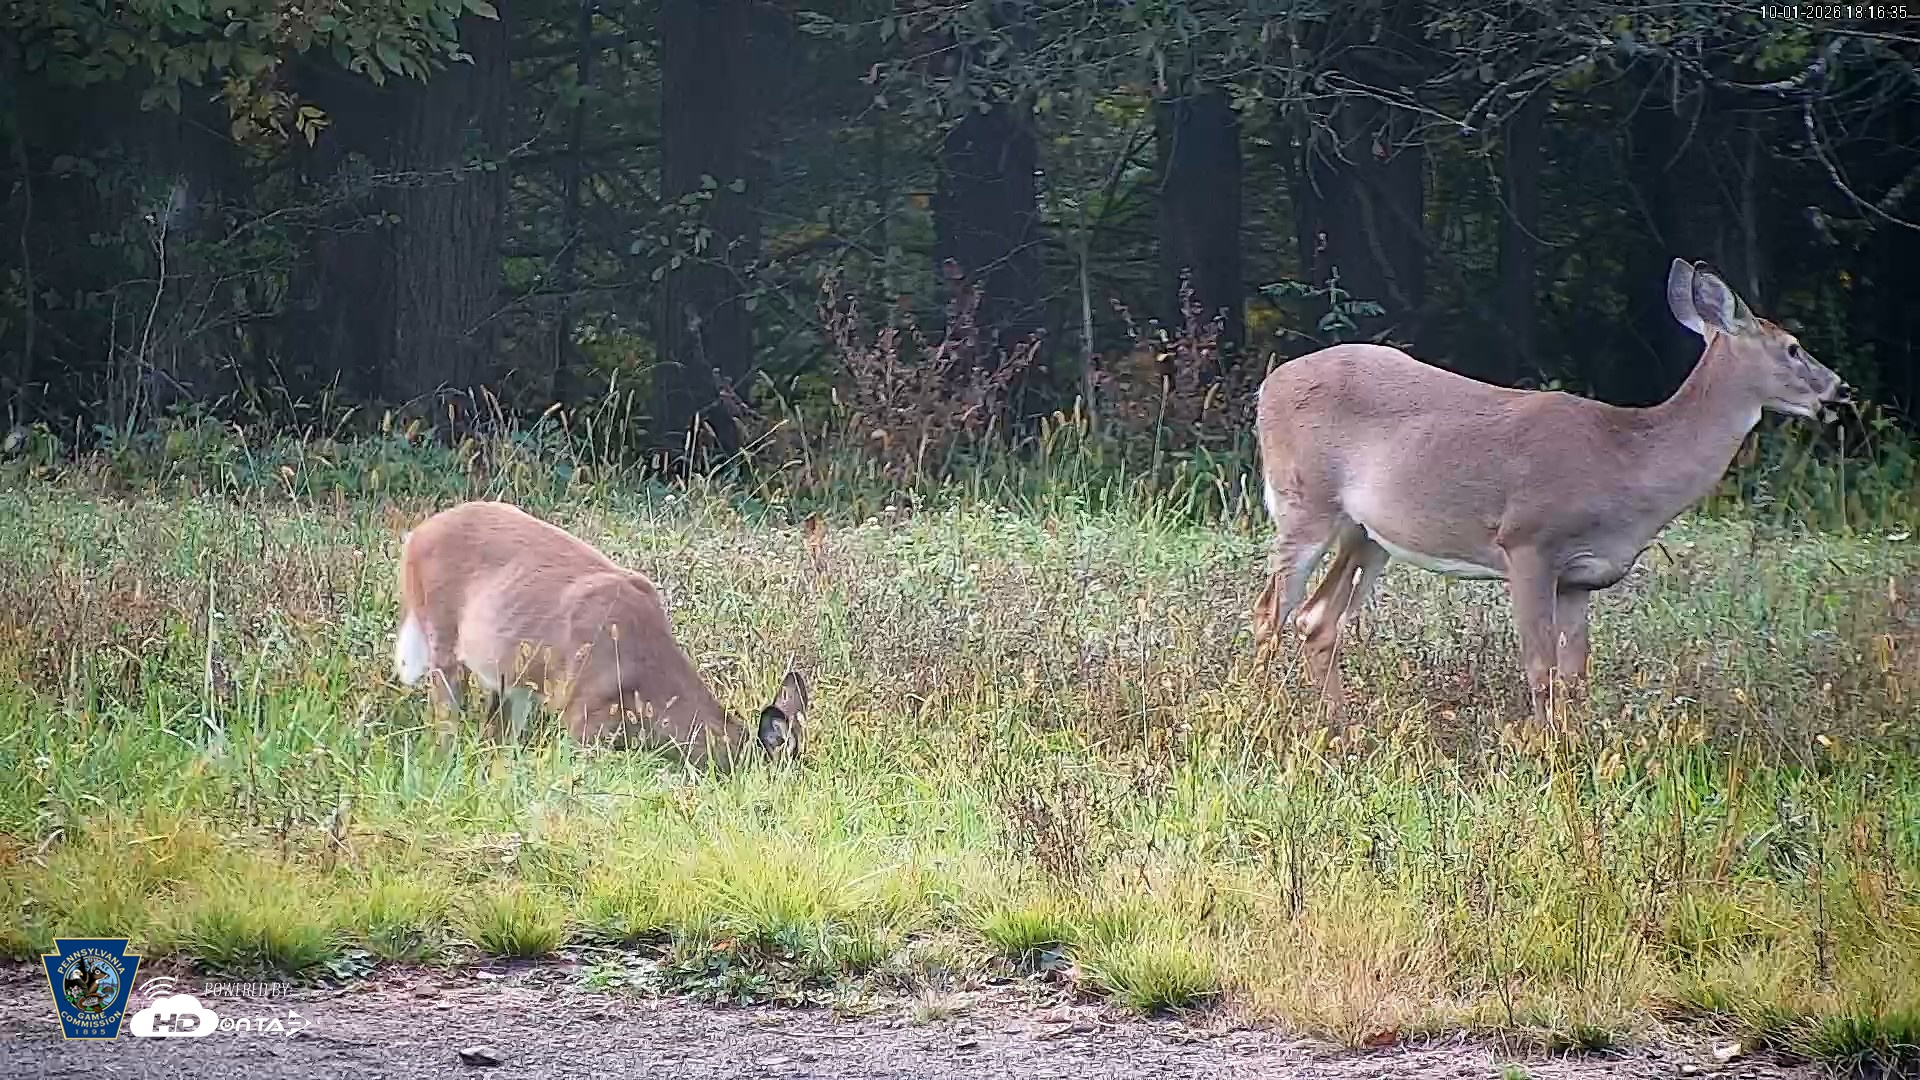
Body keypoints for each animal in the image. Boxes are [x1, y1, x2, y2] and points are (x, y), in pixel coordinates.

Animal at [1250, 258, 1848, 723]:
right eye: (1793, 348)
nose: (1839, 389)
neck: (1628, 462)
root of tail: (1268, 385)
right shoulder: (1528, 542)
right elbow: (1540, 668)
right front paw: (1544, 757)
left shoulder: (1581, 578)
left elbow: (1575, 675)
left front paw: (1576, 753)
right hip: (1303, 501)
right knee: (1270, 611)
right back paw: (1257, 713)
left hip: (1367, 533)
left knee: (1316, 619)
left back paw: (1338, 727)